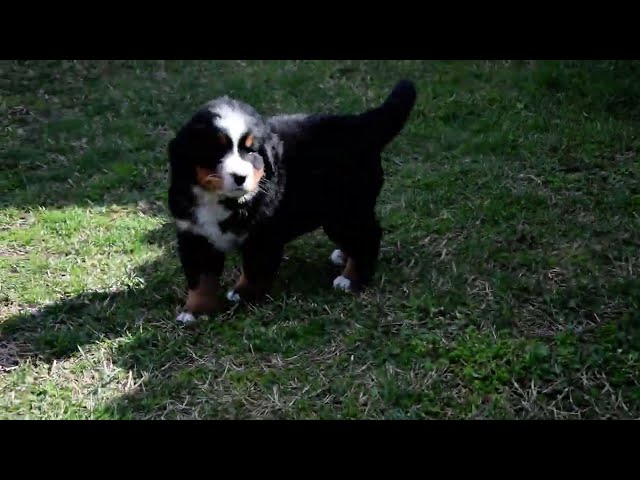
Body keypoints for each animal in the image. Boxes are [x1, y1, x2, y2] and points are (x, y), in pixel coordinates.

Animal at [168, 79, 418, 326]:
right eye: (216, 150)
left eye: (251, 150)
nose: (240, 177)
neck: (224, 200)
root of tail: (359, 124)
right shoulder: (195, 235)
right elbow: (201, 279)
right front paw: (195, 311)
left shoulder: (264, 233)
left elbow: (254, 270)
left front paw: (243, 295)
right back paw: (343, 257)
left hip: (346, 210)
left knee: (368, 236)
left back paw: (351, 279)